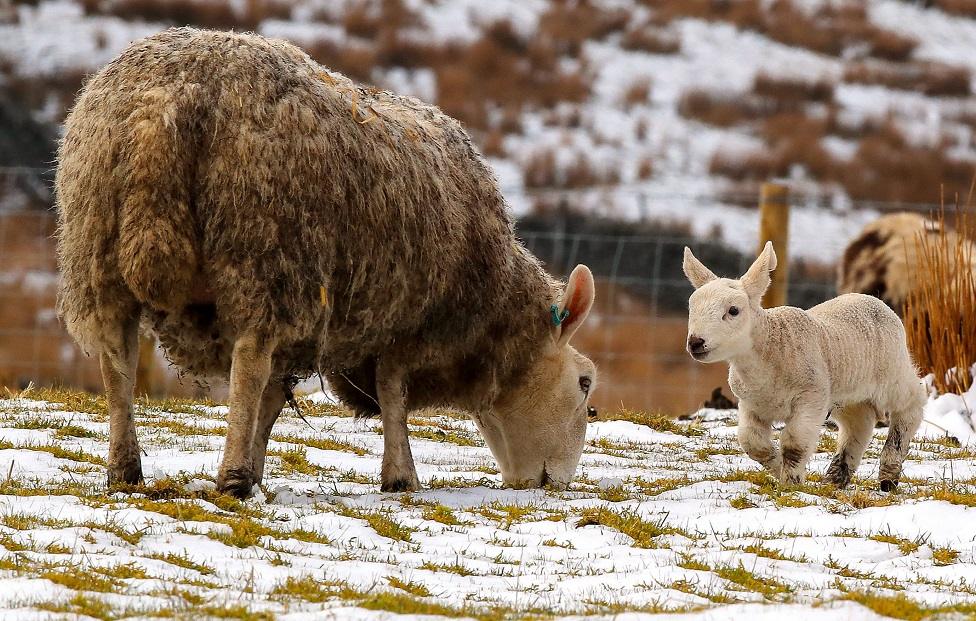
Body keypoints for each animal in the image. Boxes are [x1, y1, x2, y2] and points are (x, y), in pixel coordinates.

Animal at [59, 27, 604, 498]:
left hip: (97, 249)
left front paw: (261, 463)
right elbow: (389, 393)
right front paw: (400, 476)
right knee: (248, 363)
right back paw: (232, 479)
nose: (556, 483)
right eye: (584, 383)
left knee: (117, 359)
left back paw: (125, 469)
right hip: (265, 251)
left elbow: (276, 399)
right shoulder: (404, 320)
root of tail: (168, 102)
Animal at [684, 242, 928, 490]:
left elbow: (795, 443)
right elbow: (752, 442)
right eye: (691, 309)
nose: (695, 342)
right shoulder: (750, 403)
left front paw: (791, 482)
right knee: (857, 426)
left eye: (733, 310)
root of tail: (874, 300)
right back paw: (835, 479)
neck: (768, 351)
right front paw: (778, 468)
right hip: (848, 394)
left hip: (893, 372)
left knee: (912, 404)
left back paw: (889, 474)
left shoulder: (811, 397)